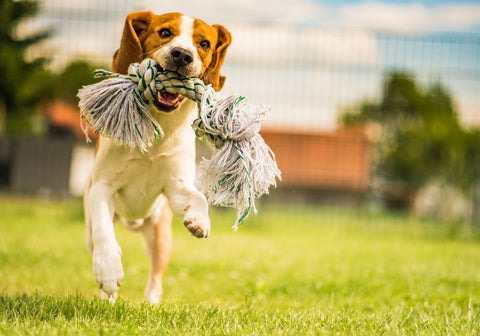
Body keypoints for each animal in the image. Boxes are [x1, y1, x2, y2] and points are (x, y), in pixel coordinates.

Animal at [84, 11, 231, 304]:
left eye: (204, 44)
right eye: (164, 33)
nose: (182, 55)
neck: (159, 125)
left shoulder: (175, 187)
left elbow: (198, 197)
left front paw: (200, 220)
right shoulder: (102, 186)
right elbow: (104, 232)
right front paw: (108, 271)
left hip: (161, 236)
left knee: (155, 278)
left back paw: (152, 304)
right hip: (90, 231)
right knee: (99, 236)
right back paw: (108, 296)